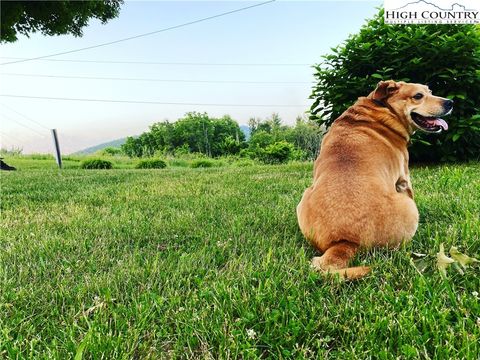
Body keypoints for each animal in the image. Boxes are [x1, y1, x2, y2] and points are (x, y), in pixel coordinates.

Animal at [298, 80, 452, 280]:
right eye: (418, 96)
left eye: (430, 91)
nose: (450, 102)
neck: (382, 109)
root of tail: (346, 241)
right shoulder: (404, 177)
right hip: (409, 207)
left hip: (303, 197)